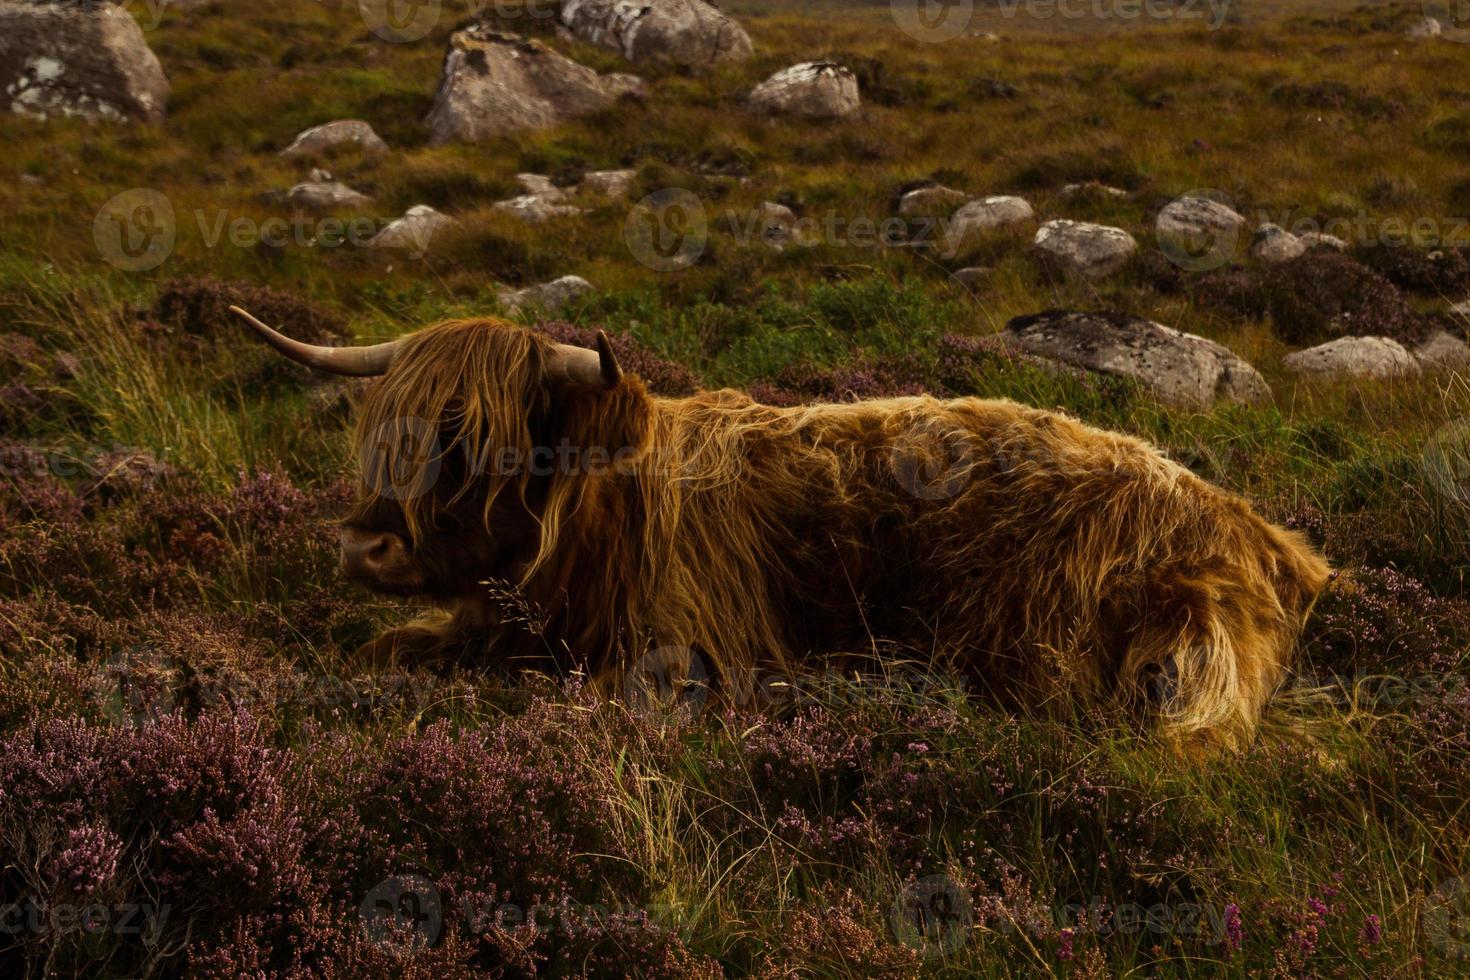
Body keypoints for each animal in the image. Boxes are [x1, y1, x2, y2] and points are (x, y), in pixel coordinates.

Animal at [235, 310, 1328, 746]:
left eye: (486, 442)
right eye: (392, 429)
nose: (363, 545)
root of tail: (1270, 546)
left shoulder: (682, 648)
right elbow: (385, 646)